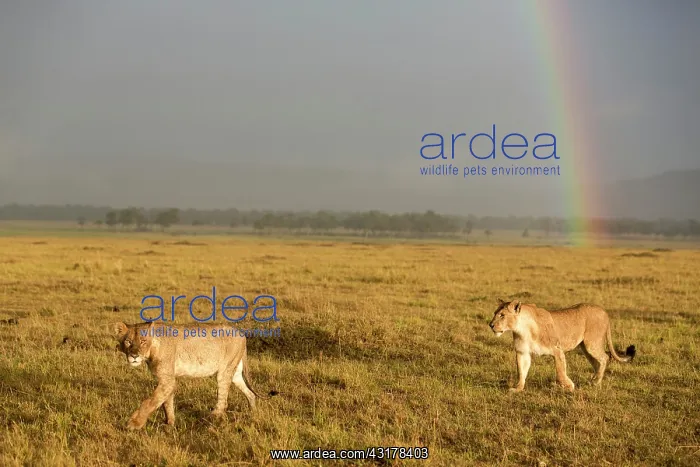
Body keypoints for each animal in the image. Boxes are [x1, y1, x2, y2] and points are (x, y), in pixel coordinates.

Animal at [113, 320, 278, 430]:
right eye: (128, 342)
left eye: (142, 341)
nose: (134, 356)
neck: (152, 349)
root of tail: (241, 333)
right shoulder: (168, 380)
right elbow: (166, 402)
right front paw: (169, 424)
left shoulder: (167, 380)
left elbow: (150, 402)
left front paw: (134, 424)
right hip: (235, 373)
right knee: (250, 393)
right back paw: (253, 414)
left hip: (224, 371)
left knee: (223, 401)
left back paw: (210, 420)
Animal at [488, 298, 636, 392]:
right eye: (495, 313)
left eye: (502, 315)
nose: (490, 325)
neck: (522, 329)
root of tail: (604, 311)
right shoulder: (522, 352)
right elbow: (521, 372)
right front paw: (517, 389)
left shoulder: (557, 350)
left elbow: (560, 372)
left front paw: (569, 386)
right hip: (585, 348)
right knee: (597, 362)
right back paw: (593, 380)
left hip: (591, 343)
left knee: (605, 358)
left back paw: (596, 382)